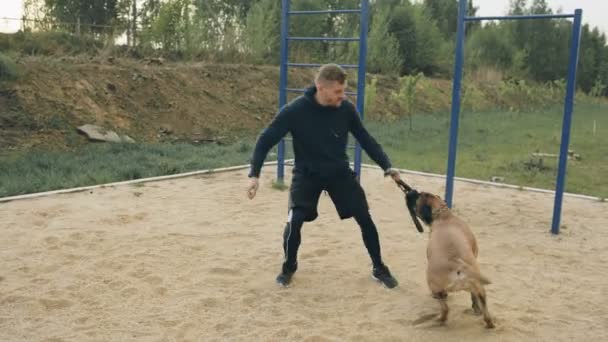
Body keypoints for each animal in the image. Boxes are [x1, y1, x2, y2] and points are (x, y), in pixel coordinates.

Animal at [410, 192, 496, 328]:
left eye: (418, 200)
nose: (412, 194)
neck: (444, 216)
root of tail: (457, 265)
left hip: (435, 286)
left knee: (445, 308)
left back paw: (440, 320)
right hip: (478, 285)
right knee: (480, 300)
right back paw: (487, 320)